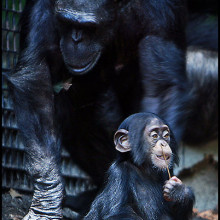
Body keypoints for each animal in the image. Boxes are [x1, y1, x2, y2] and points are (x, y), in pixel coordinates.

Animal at [4, 0, 217, 218]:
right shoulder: (42, 7)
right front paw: (47, 200)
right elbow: (35, 75)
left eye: (90, 28)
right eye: (65, 22)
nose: (75, 40)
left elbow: (161, 88)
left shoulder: (164, 12)